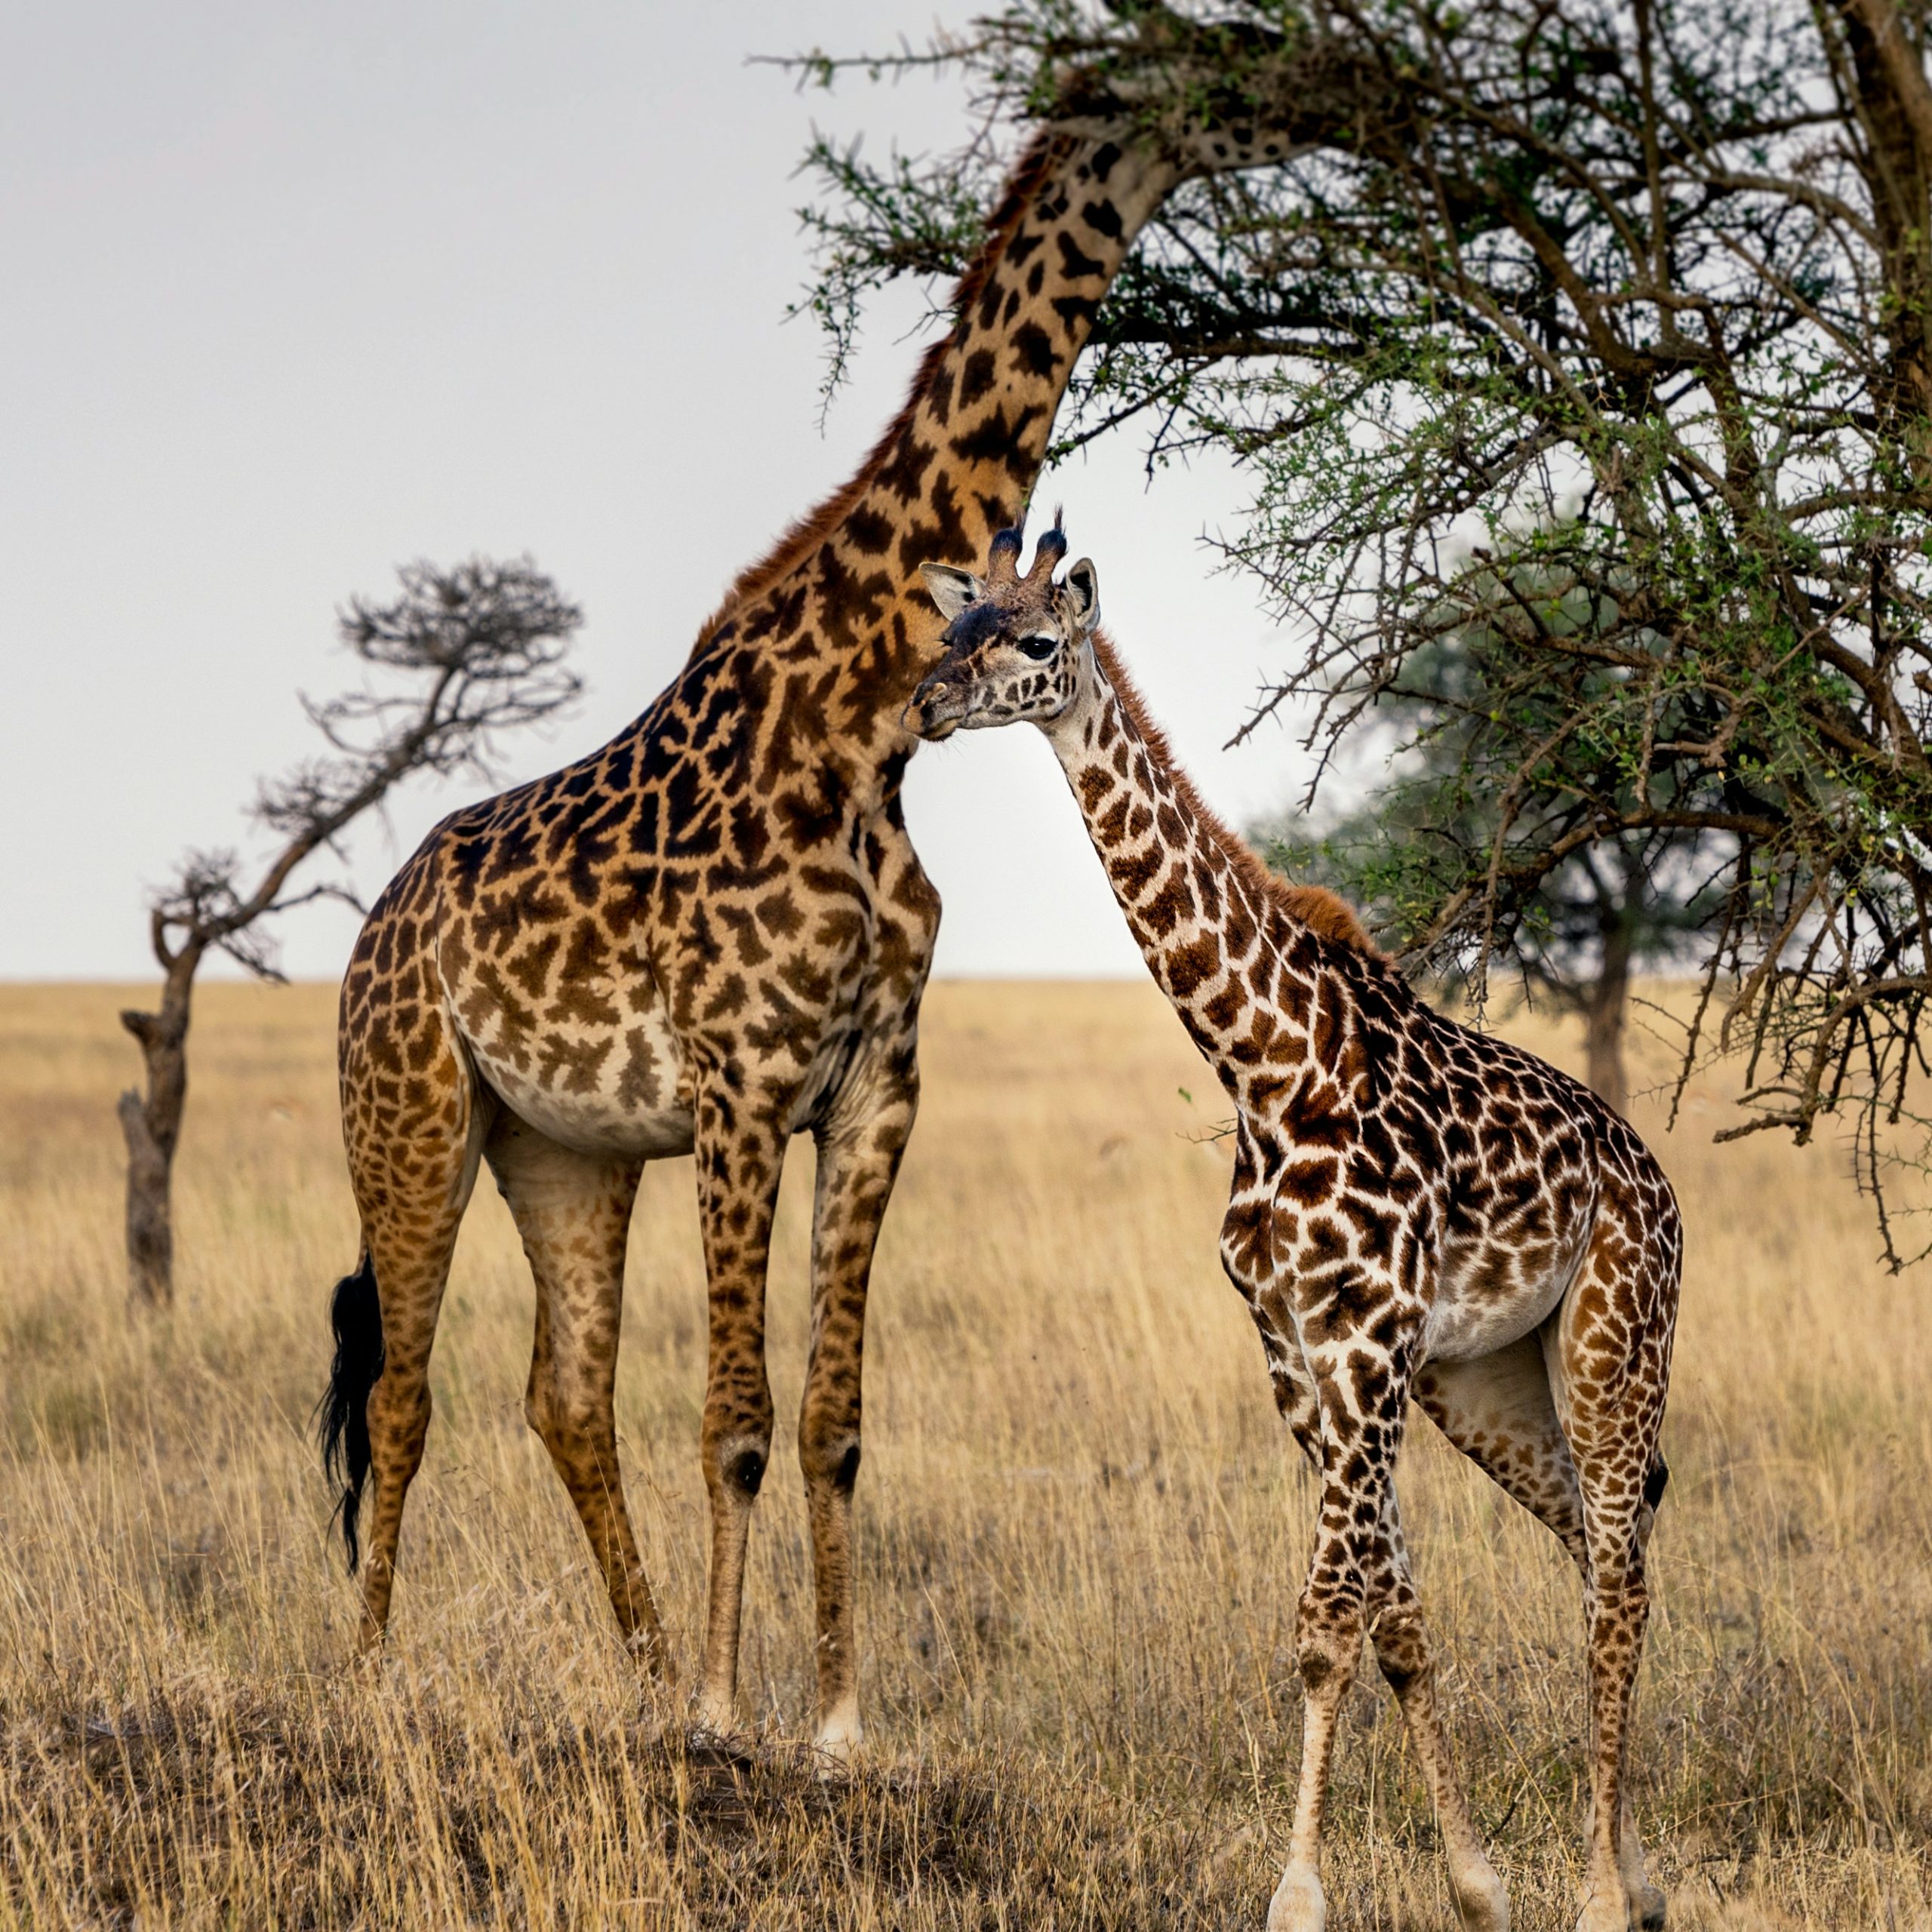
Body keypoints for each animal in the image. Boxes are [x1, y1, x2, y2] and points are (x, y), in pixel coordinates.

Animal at [315, 107, 1349, 1755]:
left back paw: (642, 1664)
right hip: (411, 1112)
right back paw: (369, 1678)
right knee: (406, 1388)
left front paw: (834, 1717)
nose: (1326, 103)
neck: (856, 733)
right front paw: (728, 1715)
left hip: (566, 1150)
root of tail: (373, 935)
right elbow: (734, 1419)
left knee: (564, 1392)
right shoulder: (743, 1082)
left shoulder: (874, 1085)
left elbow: (831, 1420)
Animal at [904, 526, 1680, 1932]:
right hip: (1485, 1382)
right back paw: (1636, 1875)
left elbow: (1326, 1628)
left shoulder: (1368, 1343)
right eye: (953, 630)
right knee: (1604, 1552)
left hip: (1613, 1343)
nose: (929, 705)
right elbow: (1394, 1622)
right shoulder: (1294, 1350)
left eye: (1037, 641)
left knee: (1621, 1570)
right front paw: (1476, 1882)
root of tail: (1658, 1183)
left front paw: (1300, 1897)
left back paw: (1603, 1893)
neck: (1267, 1066)